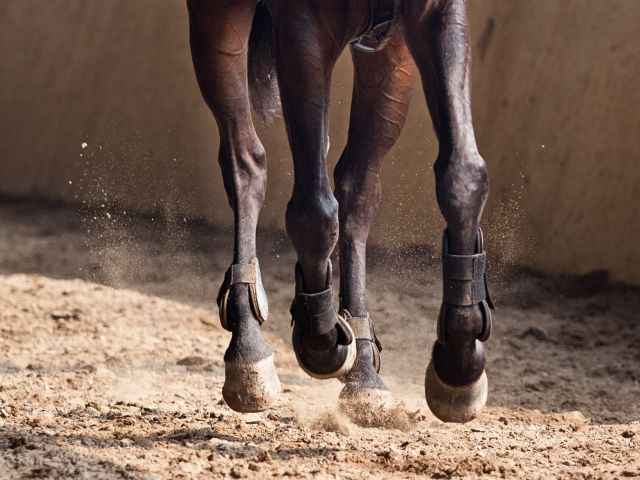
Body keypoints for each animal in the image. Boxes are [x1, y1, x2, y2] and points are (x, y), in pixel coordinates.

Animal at [186, 0, 493, 423]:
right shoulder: (302, 29)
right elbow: (312, 212)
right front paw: (319, 339)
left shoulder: (433, 14)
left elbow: (463, 176)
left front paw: (459, 364)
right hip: (217, 18)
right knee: (245, 162)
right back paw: (249, 352)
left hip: (387, 59)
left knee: (357, 190)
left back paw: (363, 372)